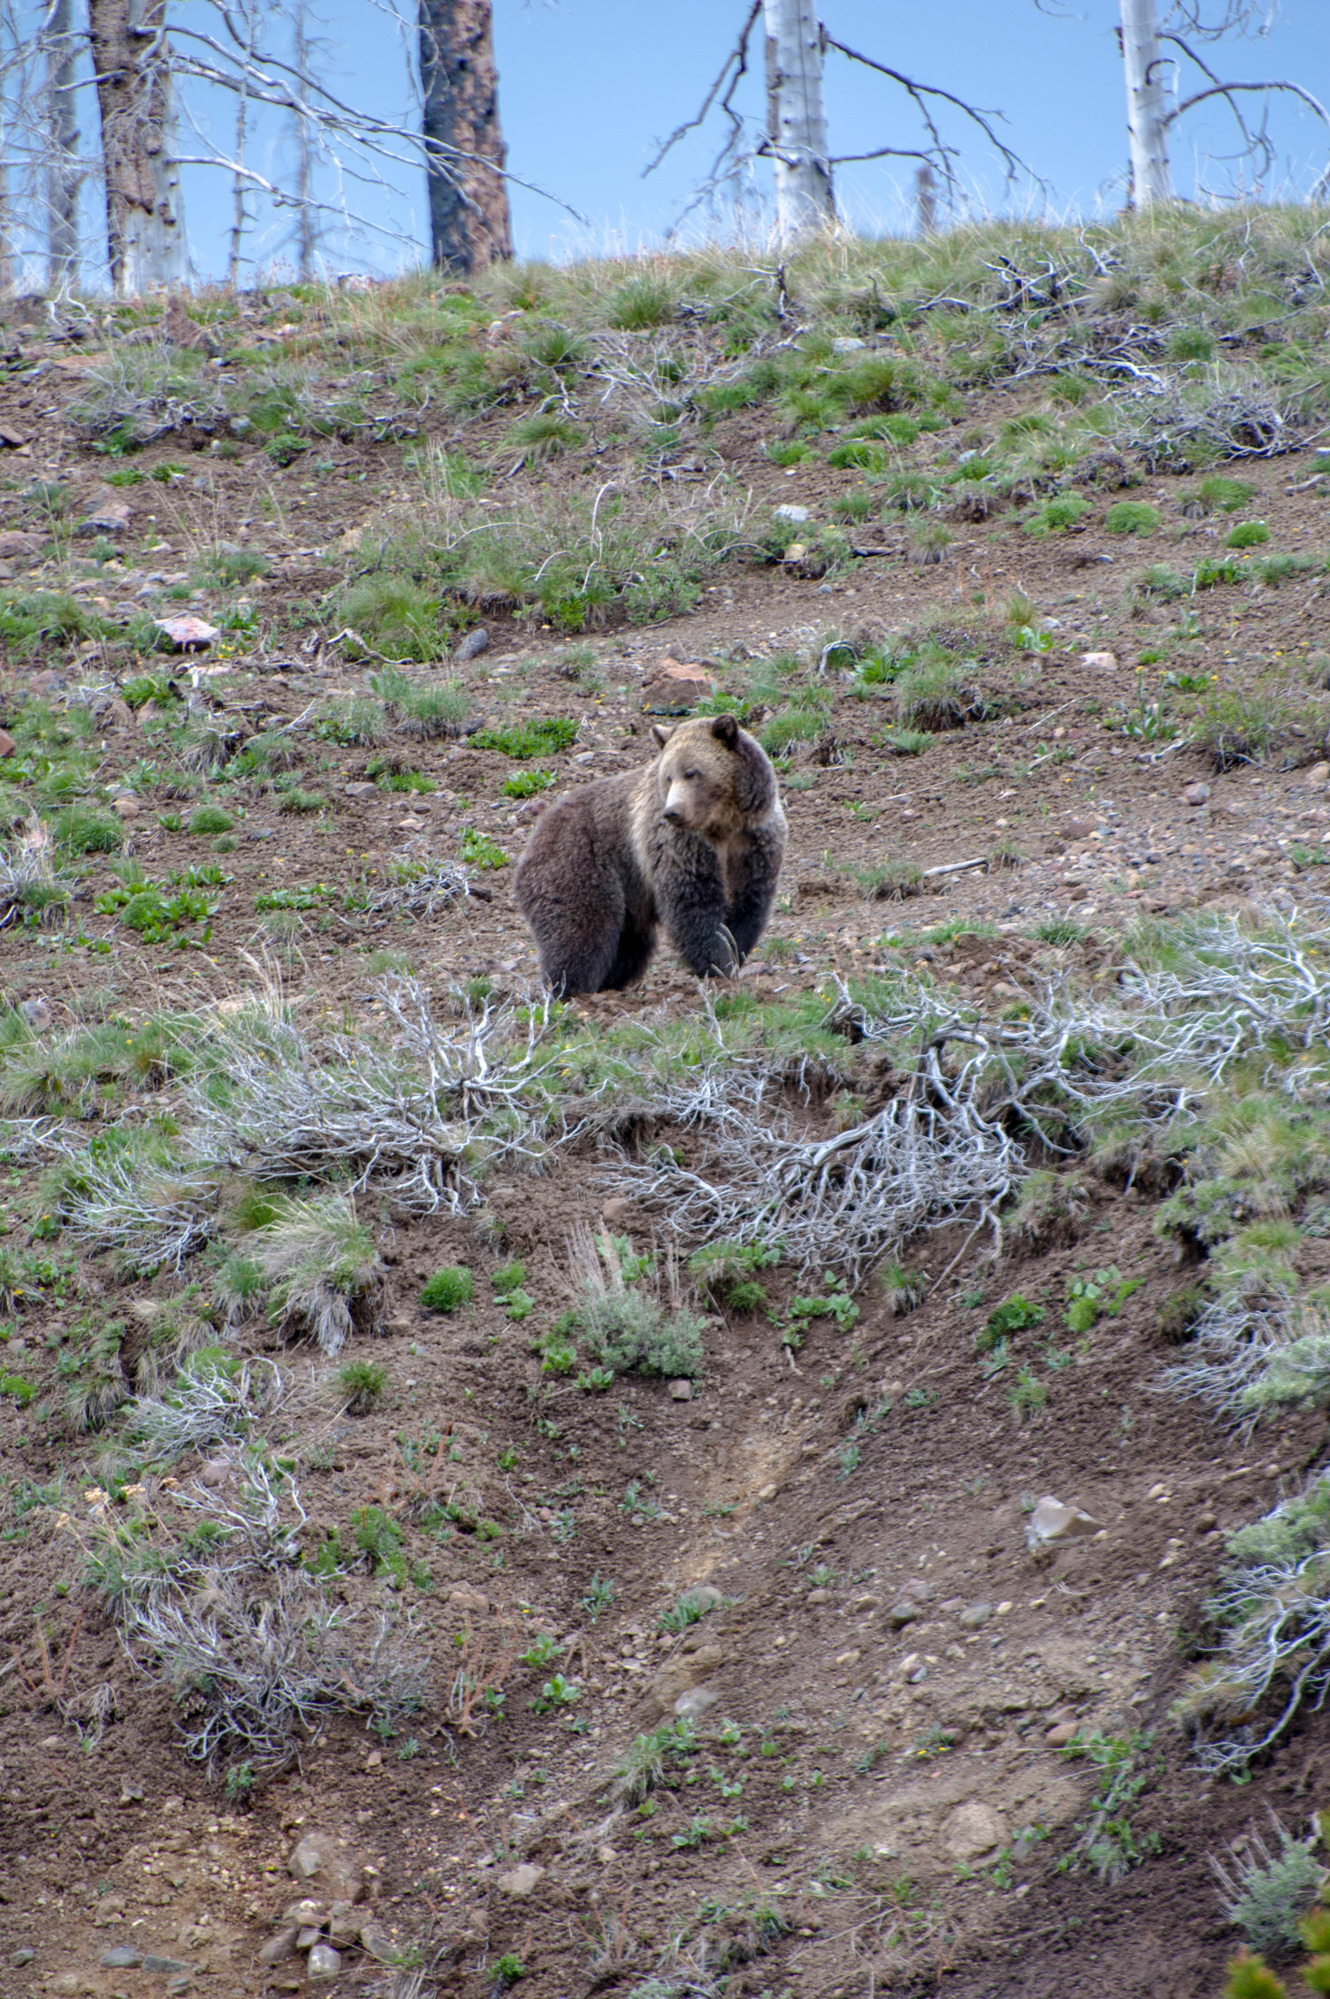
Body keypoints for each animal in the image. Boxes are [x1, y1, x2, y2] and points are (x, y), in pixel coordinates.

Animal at [513, 713, 787, 996]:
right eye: (668, 776)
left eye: (691, 772)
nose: (673, 812)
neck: (722, 825)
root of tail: (536, 833)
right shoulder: (680, 845)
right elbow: (693, 903)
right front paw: (718, 964)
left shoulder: (753, 841)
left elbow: (748, 903)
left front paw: (733, 955)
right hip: (579, 862)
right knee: (580, 929)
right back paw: (569, 988)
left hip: (629, 896)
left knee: (629, 945)